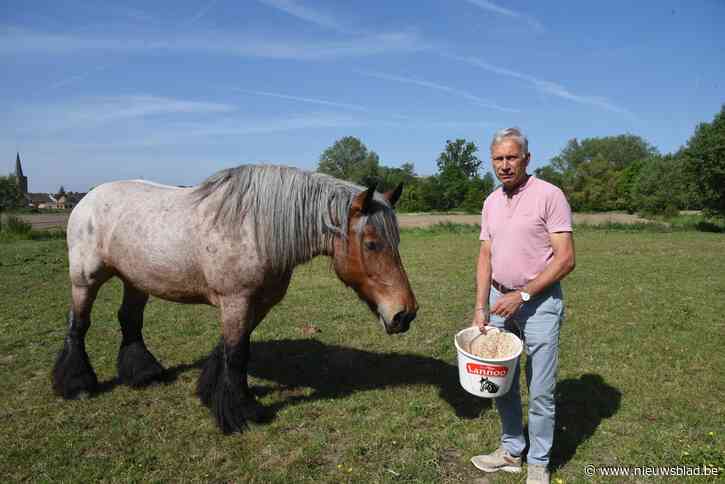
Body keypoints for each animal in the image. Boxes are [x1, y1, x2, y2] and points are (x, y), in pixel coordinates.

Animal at [52, 164, 418, 433]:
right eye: (371, 243)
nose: (405, 314)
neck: (256, 229)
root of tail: (87, 199)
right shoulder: (236, 301)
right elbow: (238, 353)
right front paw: (242, 413)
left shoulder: (259, 302)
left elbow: (231, 349)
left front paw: (210, 391)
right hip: (85, 280)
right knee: (78, 325)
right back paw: (77, 384)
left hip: (136, 280)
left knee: (129, 321)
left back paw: (143, 374)